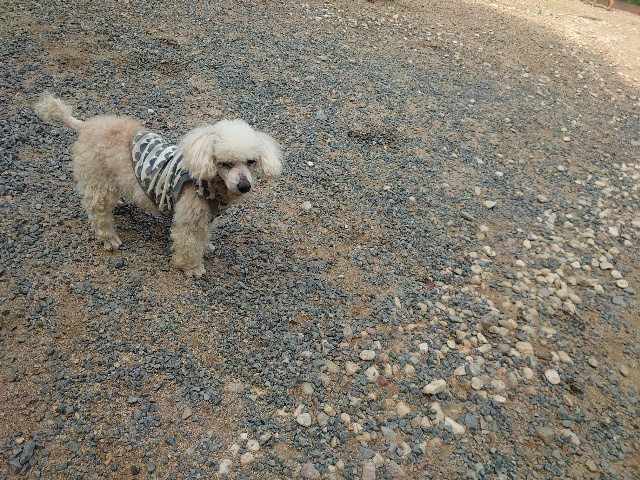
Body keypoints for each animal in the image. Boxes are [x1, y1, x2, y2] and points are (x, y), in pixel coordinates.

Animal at [34, 94, 283, 277]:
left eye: (251, 162)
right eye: (225, 163)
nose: (244, 186)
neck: (211, 184)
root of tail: (86, 126)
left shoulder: (207, 218)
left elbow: (203, 238)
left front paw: (206, 248)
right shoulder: (188, 220)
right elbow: (187, 244)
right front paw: (192, 267)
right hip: (98, 181)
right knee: (97, 211)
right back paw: (108, 238)